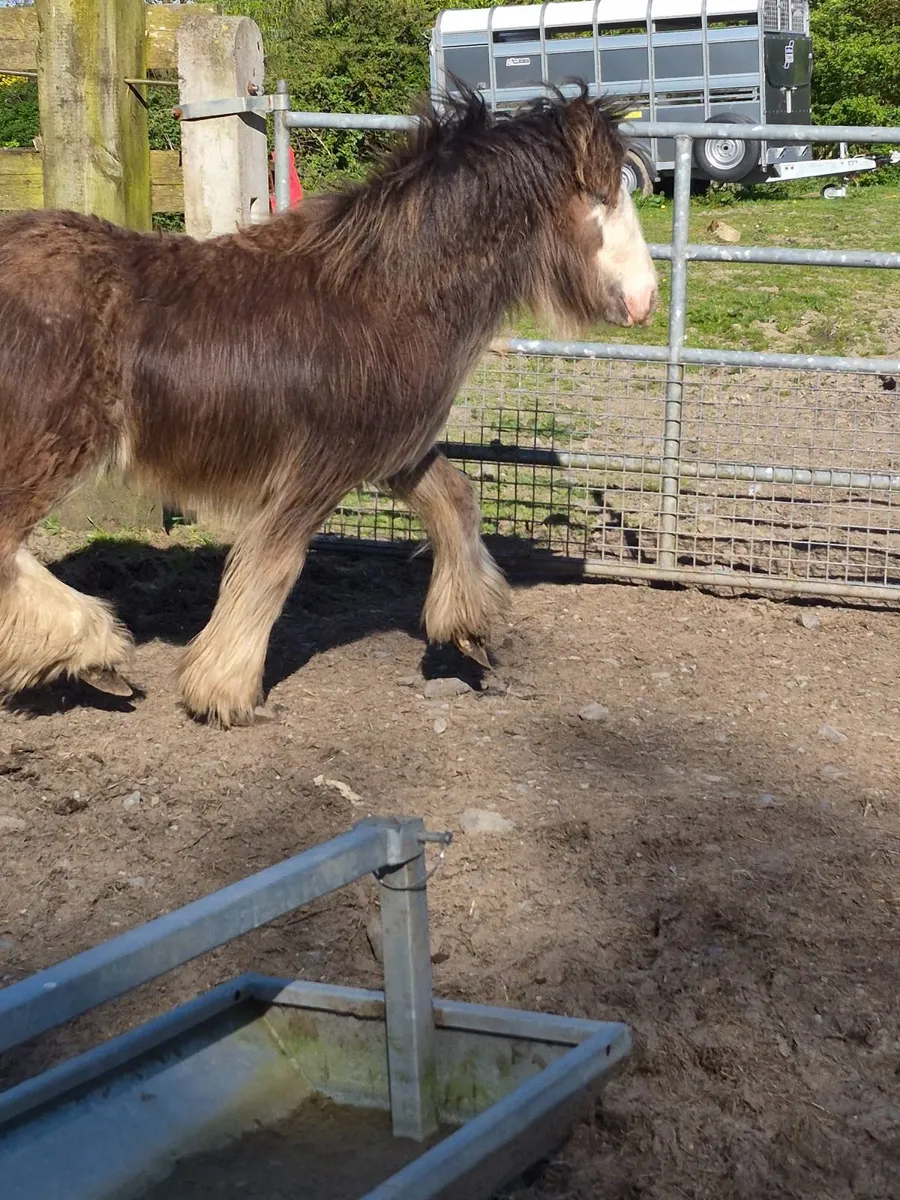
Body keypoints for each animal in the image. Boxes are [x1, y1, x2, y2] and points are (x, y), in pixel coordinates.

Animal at [0, 86, 657, 727]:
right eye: (600, 195)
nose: (646, 300)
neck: (390, 294)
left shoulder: (398, 452)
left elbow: (457, 504)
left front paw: (468, 631)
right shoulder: (321, 466)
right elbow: (274, 564)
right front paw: (224, 691)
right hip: (48, 446)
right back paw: (95, 650)